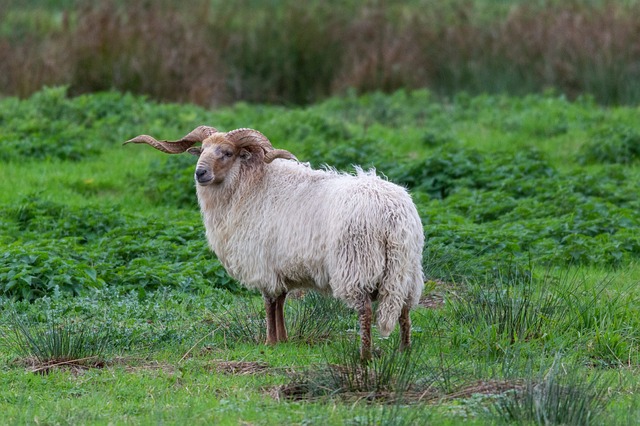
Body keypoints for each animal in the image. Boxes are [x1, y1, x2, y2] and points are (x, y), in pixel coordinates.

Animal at [125, 126, 424, 360]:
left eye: (227, 153)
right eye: (202, 150)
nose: (201, 173)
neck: (252, 185)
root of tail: (392, 214)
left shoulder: (262, 264)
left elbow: (269, 303)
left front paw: (269, 341)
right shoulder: (279, 265)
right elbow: (280, 301)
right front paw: (283, 340)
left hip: (357, 264)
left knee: (365, 311)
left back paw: (364, 355)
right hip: (406, 270)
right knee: (405, 310)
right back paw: (404, 351)